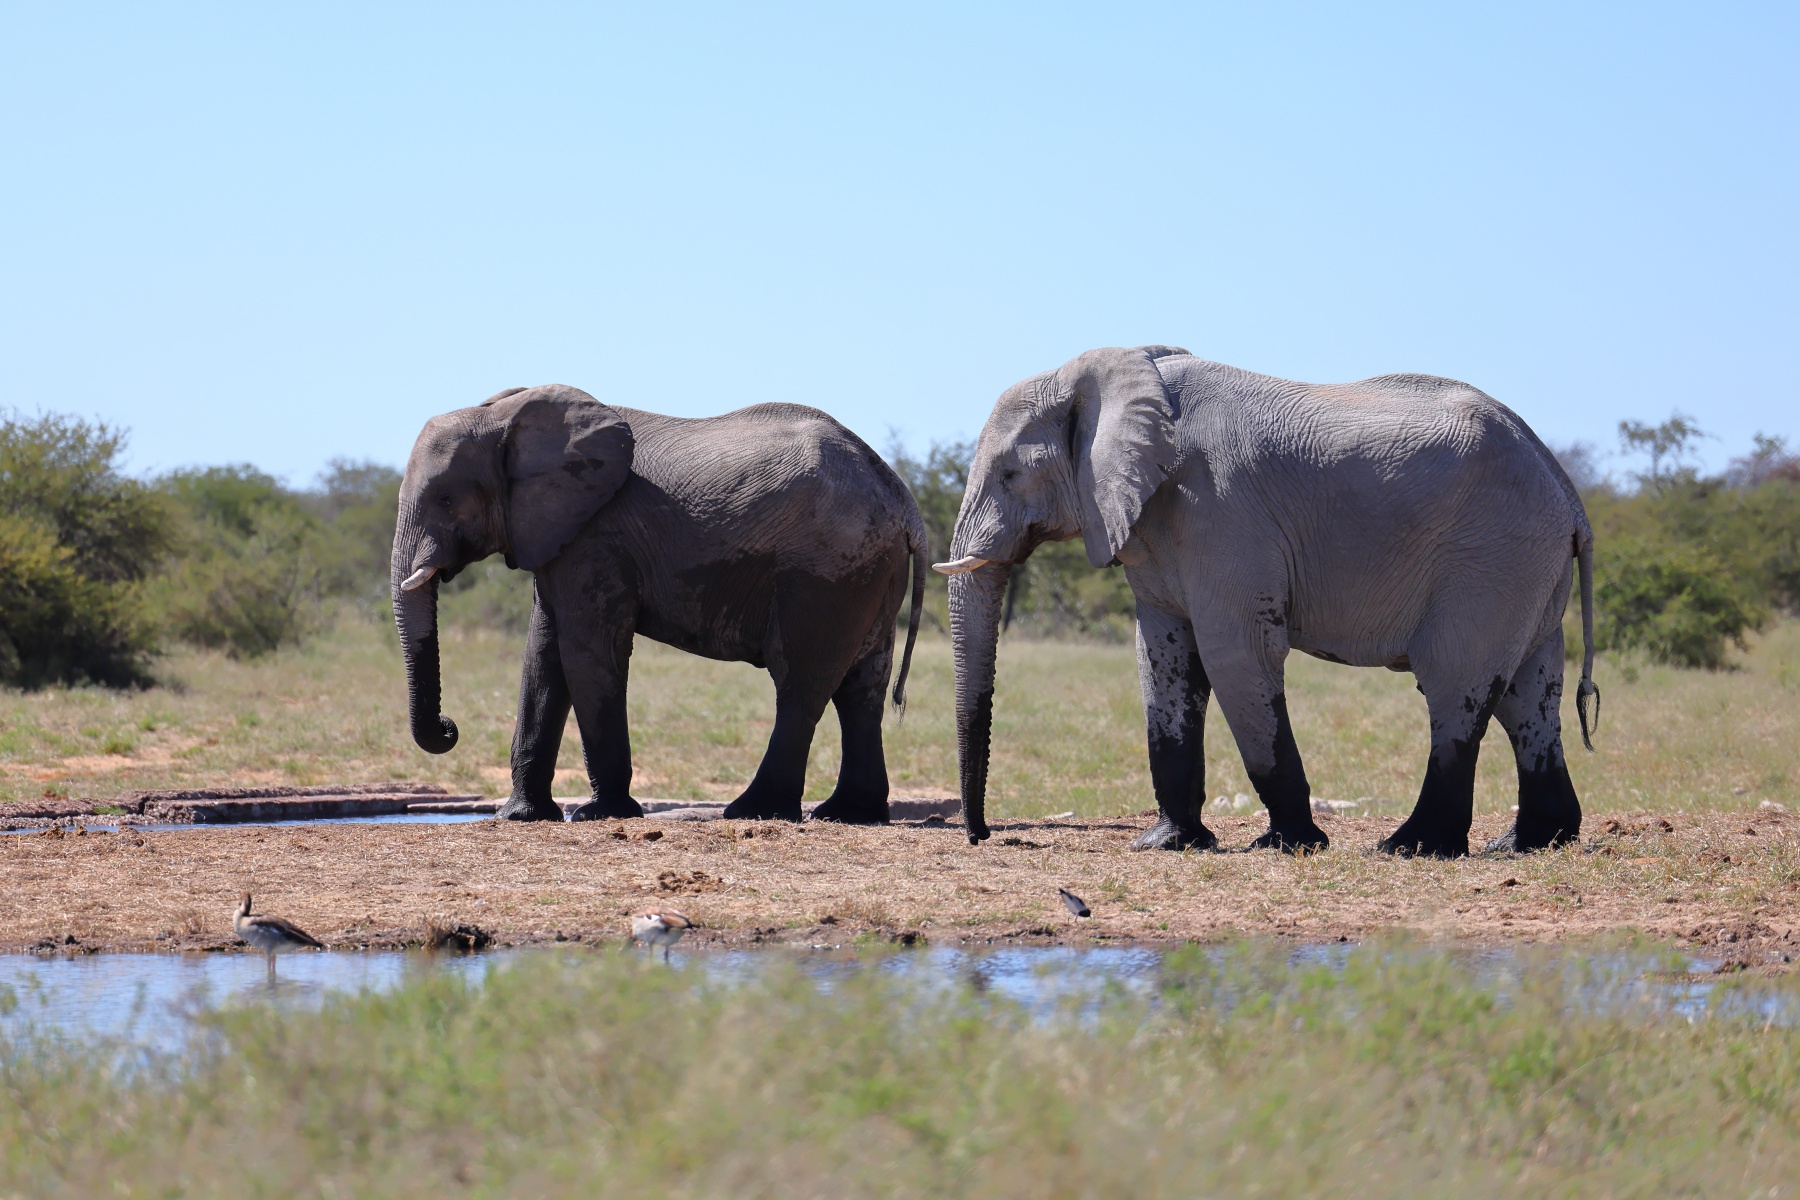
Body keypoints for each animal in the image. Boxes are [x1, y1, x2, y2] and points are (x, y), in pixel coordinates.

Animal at [392, 384, 926, 825]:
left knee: (800, 683)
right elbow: (542, 656)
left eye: (445, 499)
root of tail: (902, 498)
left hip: (823, 573)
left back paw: (753, 811)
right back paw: (848, 814)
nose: (449, 727)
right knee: (862, 688)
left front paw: (600, 814)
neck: (505, 417)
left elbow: (588, 652)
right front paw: (520, 817)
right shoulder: (559, 535)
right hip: (867, 569)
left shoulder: (597, 535)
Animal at [937, 346, 1598, 858]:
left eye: (1010, 474)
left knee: (1455, 685)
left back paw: (1410, 847)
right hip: (1526, 565)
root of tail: (1567, 491)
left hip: (1490, 556)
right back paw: (1527, 844)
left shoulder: (1219, 511)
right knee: (1528, 694)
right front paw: (1168, 844)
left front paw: (1288, 844)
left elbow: (1237, 657)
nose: (982, 835)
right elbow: (1162, 661)